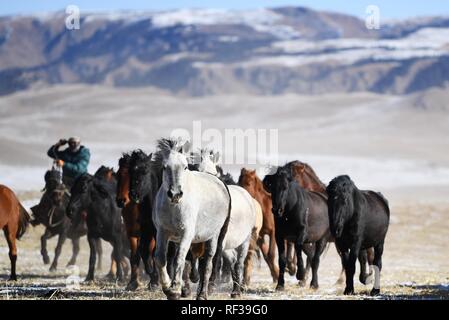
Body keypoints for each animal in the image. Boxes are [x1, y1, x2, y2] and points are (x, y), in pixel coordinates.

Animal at [153, 138, 231, 300]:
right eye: (164, 167)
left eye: (185, 167)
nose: (175, 194)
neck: (174, 207)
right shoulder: (162, 232)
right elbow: (161, 258)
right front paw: (168, 287)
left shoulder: (187, 233)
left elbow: (179, 259)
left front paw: (175, 290)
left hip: (214, 236)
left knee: (207, 264)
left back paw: (202, 294)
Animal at [193, 149, 260, 296]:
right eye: (196, 169)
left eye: (213, 172)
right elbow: (202, 265)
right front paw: (201, 289)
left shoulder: (218, 241)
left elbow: (213, 262)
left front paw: (209, 287)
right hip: (228, 246)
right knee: (233, 261)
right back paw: (235, 289)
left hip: (244, 241)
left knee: (239, 263)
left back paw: (237, 291)